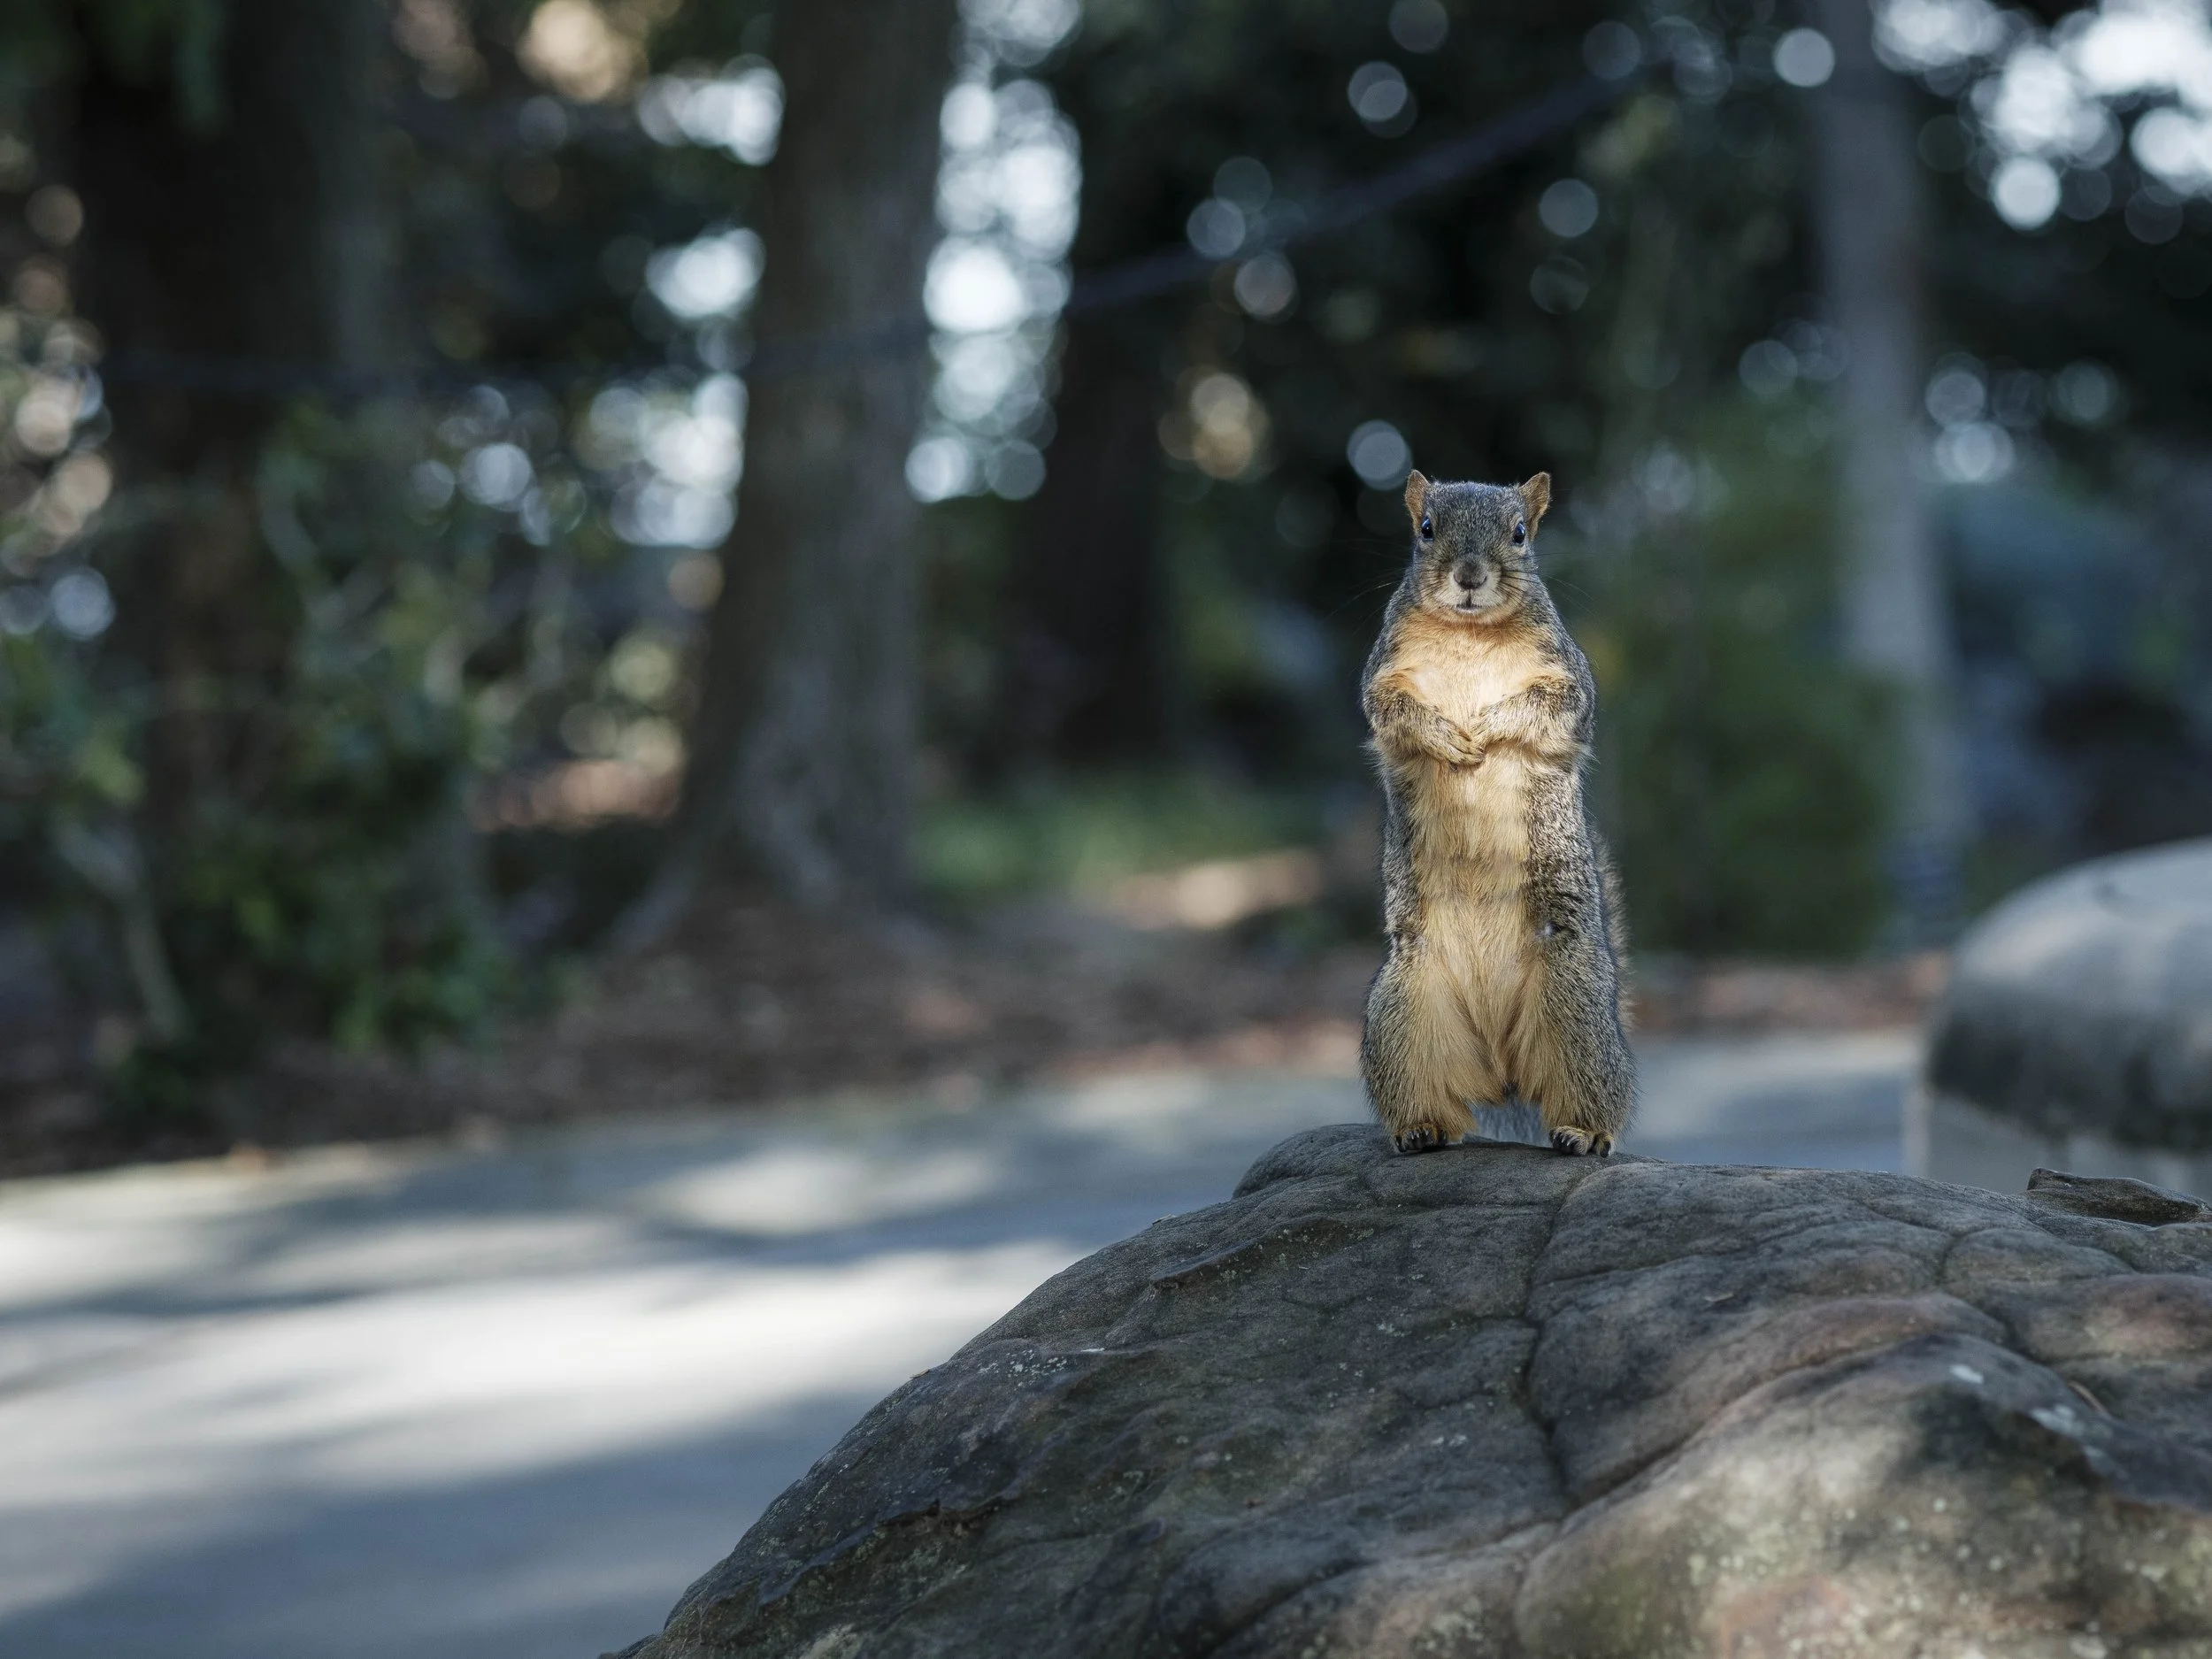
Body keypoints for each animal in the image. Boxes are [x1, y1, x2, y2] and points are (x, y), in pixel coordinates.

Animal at [1358, 468, 1634, 1156]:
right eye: (1426, 529)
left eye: (1519, 533)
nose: (1469, 575)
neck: (1469, 634)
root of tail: (1501, 1066)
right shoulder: (1382, 675)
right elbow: (1391, 712)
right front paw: (1448, 736)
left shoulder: (1567, 679)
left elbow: (1548, 704)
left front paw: (1485, 726)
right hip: (1403, 1009)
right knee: (1429, 1094)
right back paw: (1420, 1130)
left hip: (1576, 1005)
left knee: (1589, 1087)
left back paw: (1584, 1132)